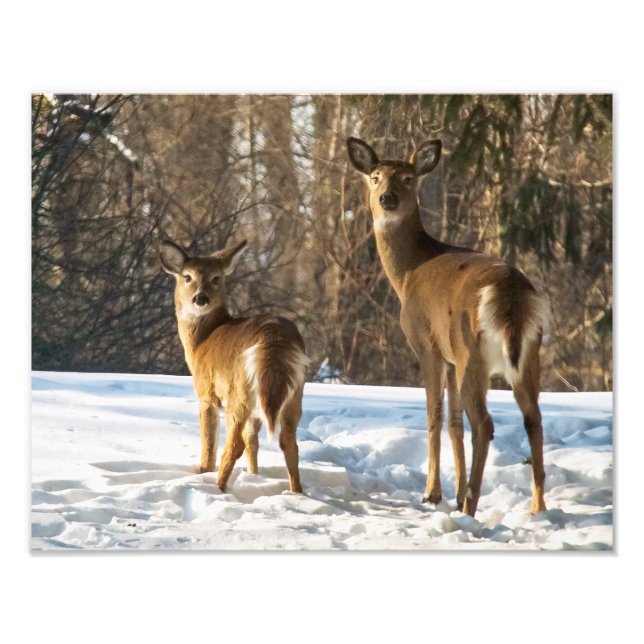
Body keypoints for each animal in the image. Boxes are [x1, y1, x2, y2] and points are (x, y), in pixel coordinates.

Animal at [159, 238, 308, 495]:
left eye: (216, 278)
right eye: (187, 276)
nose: (200, 298)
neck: (201, 343)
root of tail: (275, 341)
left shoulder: (207, 393)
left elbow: (209, 442)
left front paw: (202, 471)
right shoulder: (257, 411)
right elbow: (253, 441)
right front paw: (254, 475)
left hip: (239, 392)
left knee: (234, 443)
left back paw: (218, 488)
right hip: (293, 393)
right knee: (288, 441)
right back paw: (297, 493)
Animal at [346, 137, 548, 517]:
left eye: (408, 178)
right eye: (376, 177)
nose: (387, 199)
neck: (408, 273)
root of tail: (510, 292)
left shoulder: (428, 345)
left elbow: (434, 416)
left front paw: (433, 494)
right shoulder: (452, 358)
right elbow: (454, 424)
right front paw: (452, 494)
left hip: (473, 352)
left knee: (484, 423)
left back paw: (471, 506)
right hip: (528, 354)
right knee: (532, 418)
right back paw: (537, 507)